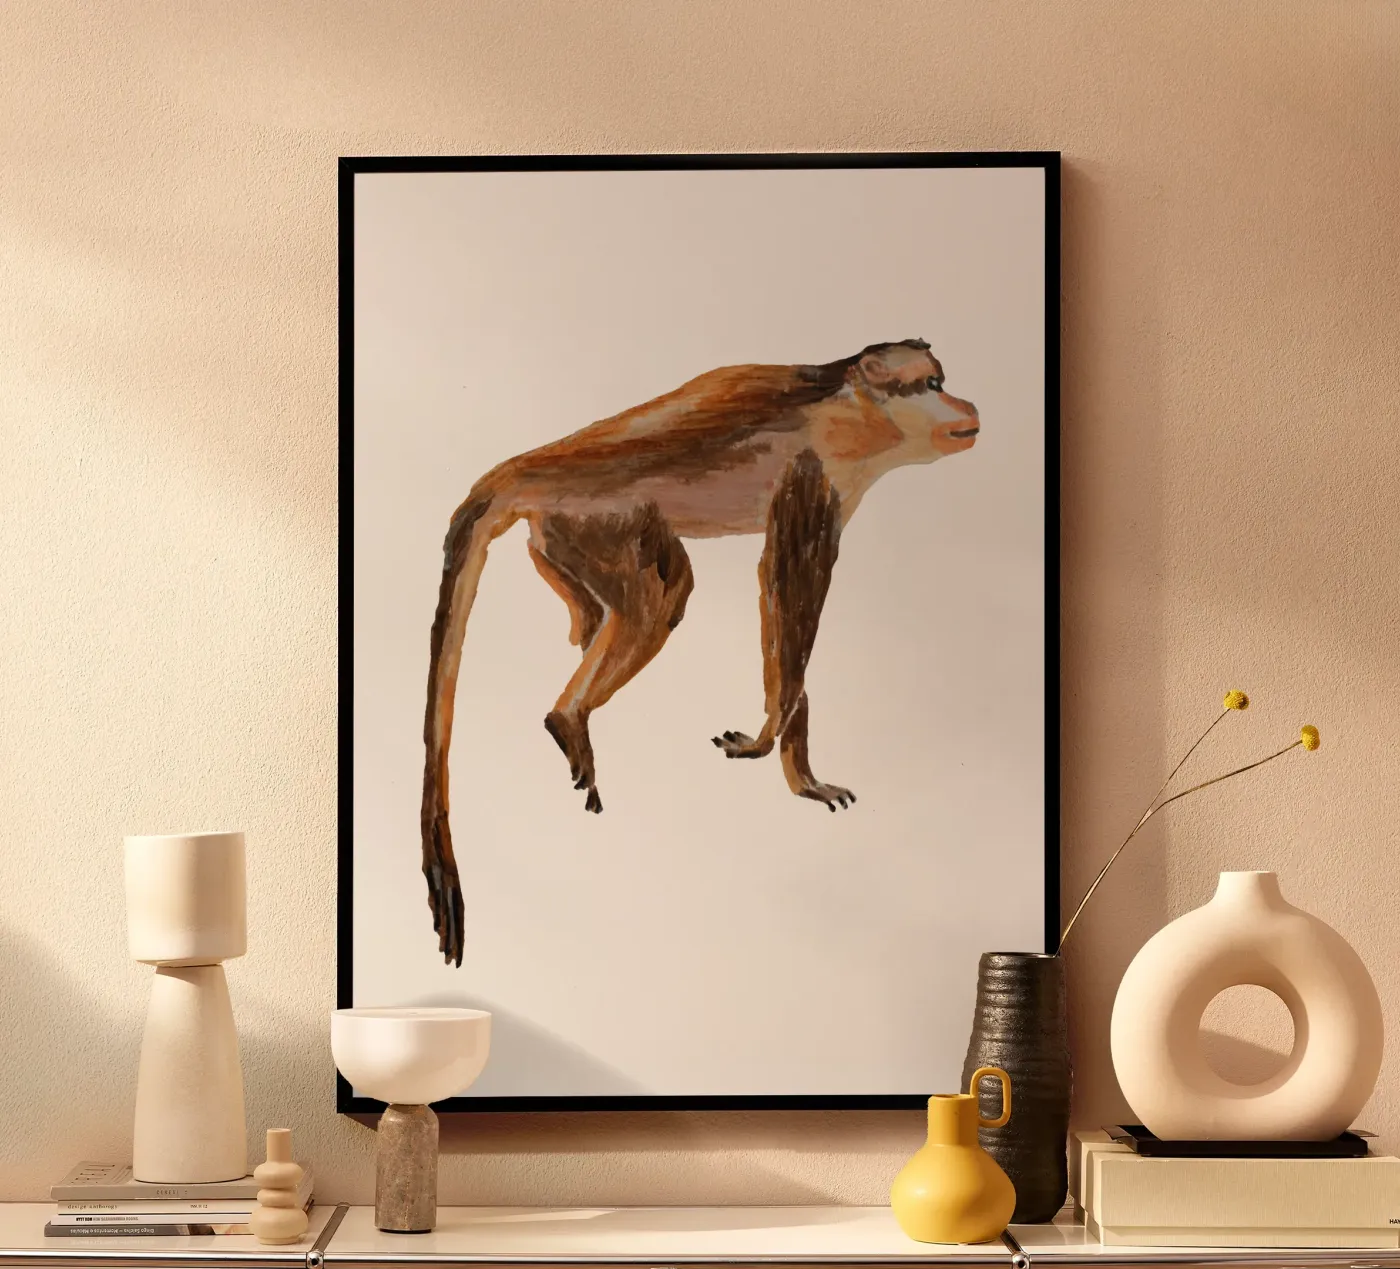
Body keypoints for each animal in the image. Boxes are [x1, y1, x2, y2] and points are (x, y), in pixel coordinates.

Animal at [421, 339, 980, 964]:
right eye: (932, 386)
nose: (964, 405)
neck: (849, 400)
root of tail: (525, 468)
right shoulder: (813, 470)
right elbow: (786, 588)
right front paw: (766, 742)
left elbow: (784, 617)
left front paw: (802, 775)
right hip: (598, 514)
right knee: (664, 594)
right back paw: (567, 716)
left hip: (559, 535)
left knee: (606, 608)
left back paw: (580, 665)